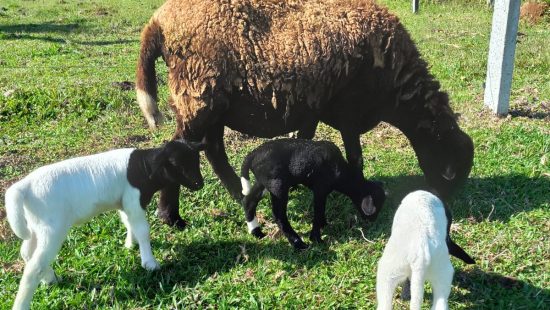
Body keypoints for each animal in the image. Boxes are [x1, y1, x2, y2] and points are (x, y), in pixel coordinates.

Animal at [4, 140, 205, 310]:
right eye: (177, 164)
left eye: (197, 160)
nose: (199, 184)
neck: (143, 168)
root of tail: (23, 187)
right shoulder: (134, 199)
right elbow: (142, 230)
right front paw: (150, 263)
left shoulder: (124, 202)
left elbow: (128, 222)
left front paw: (130, 244)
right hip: (53, 227)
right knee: (34, 266)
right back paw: (23, 303)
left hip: (35, 226)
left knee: (27, 253)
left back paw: (51, 279)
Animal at [137, 0, 474, 228]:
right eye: (453, 167)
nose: (445, 202)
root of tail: (158, 21)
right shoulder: (349, 109)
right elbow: (355, 156)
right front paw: (360, 189)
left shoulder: (313, 105)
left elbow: (305, 139)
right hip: (197, 94)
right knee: (182, 148)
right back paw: (169, 215)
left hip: (212, 102)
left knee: (214, 150)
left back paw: (239, 194)